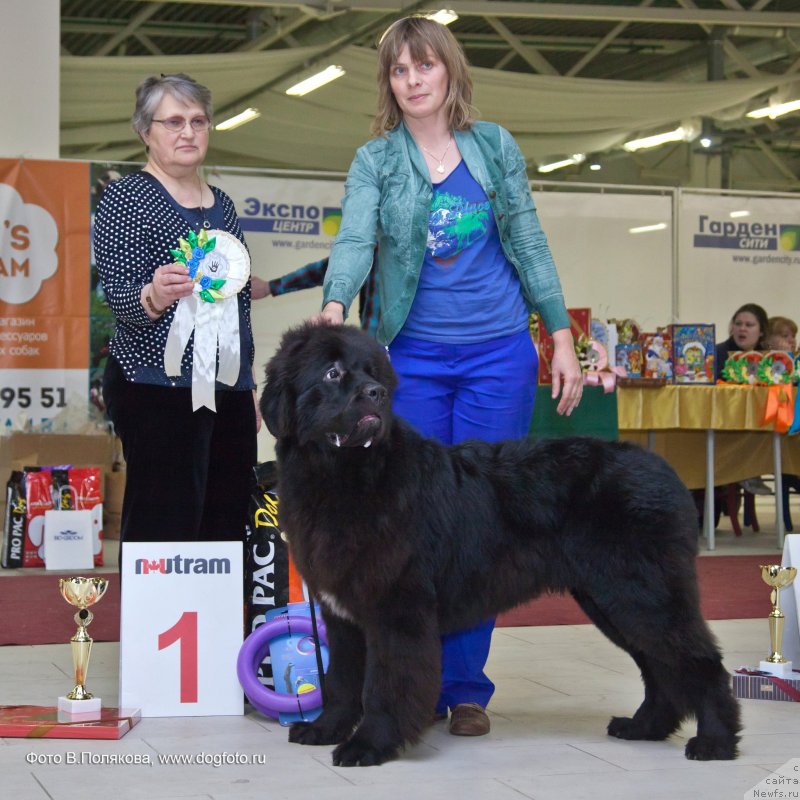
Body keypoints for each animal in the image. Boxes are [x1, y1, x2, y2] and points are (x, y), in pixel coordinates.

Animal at [262, 322, 744, 764]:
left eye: (372, 371)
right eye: (332, 373)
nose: (376, 393)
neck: (345, 474)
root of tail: (666, 472)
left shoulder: (396, 608)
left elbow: (385, 685)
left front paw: (369, 745)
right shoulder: (342, 613)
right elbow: (341, 681)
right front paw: (323, 729)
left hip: (642, 595)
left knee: (699, 662)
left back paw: (714, 742)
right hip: (612, 600)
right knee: (659, 667)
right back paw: (644, 727)